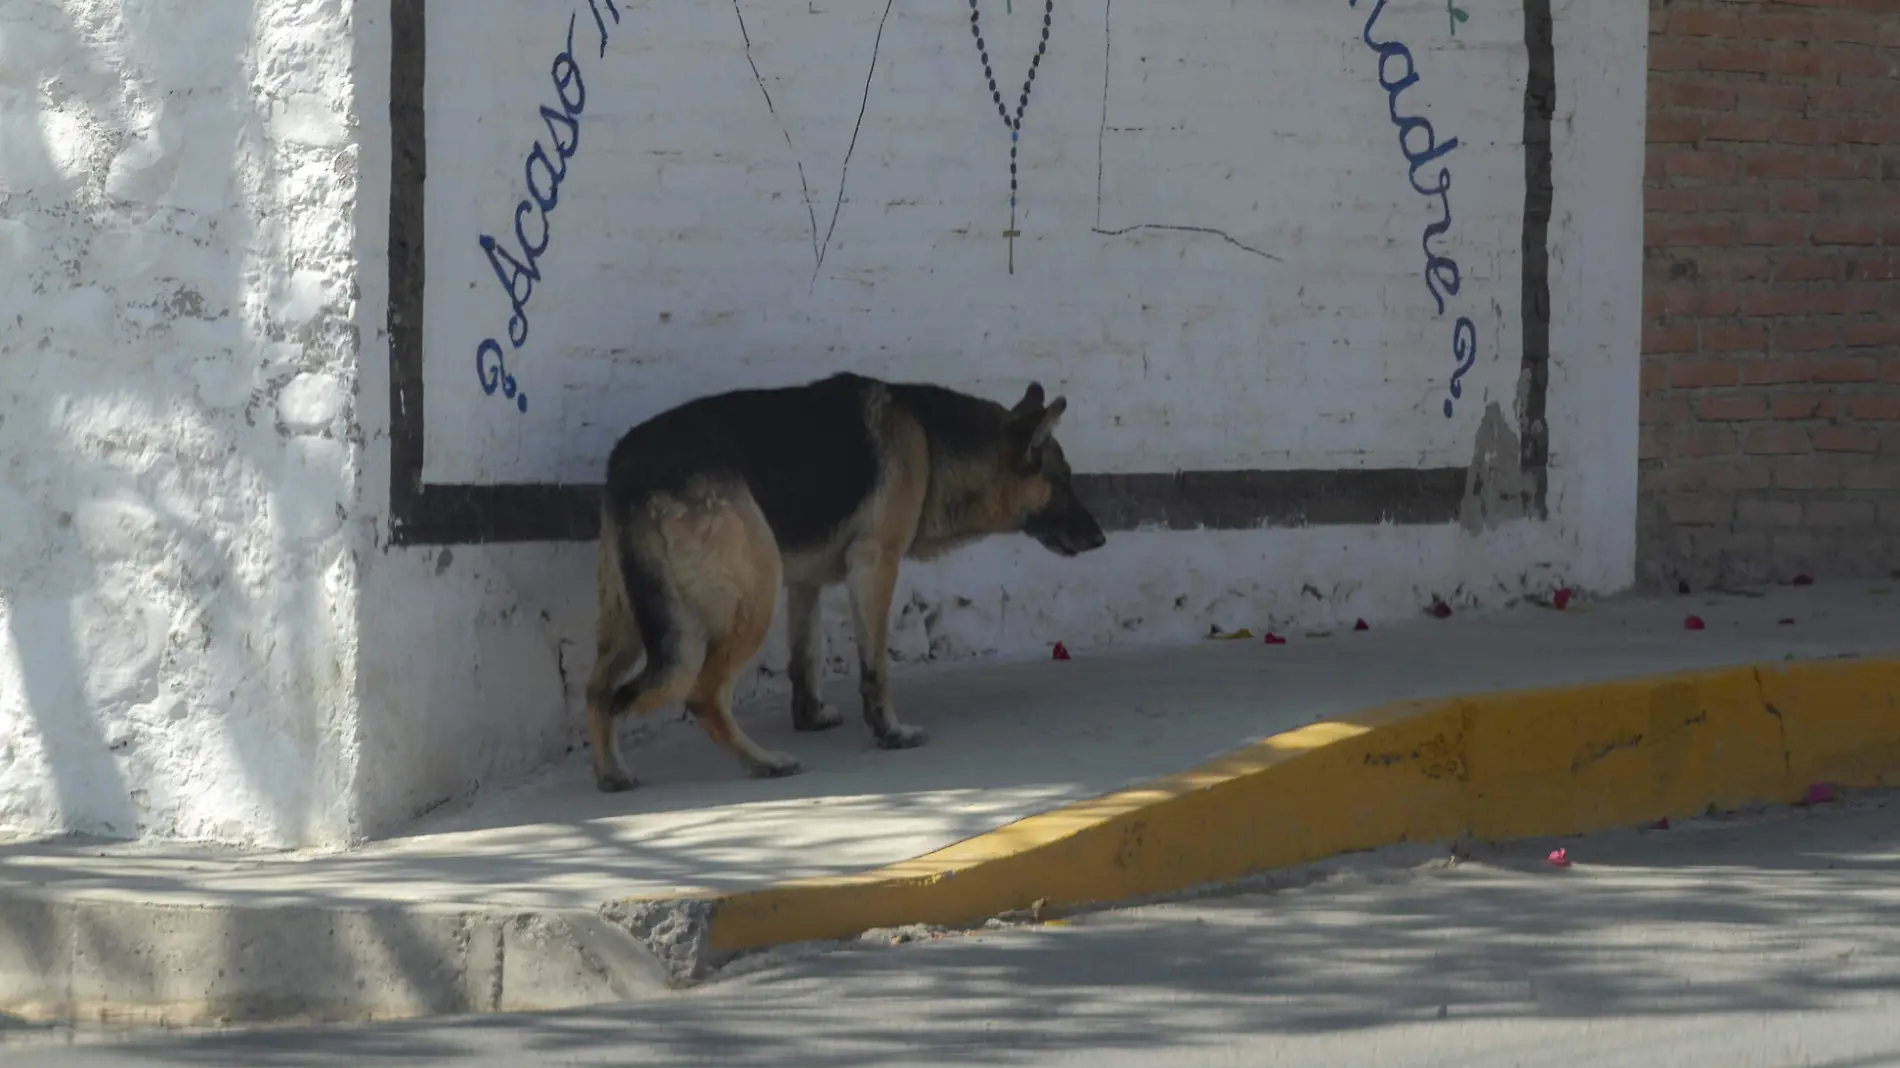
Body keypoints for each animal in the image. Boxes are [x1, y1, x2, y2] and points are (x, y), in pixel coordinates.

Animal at [585, 370, 1109, 786]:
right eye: (1063, 480)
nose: (1102, 538)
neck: (931, 440)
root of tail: (630, 470)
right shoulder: (876, 566)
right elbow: (874, 668)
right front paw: (889, 732)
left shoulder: (805, 585)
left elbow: (805, 660)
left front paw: (810, 716)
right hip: (752, 597)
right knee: (700, 694)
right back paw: (762, 762)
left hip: (632, 621)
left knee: (599, 692)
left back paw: (611, 773)